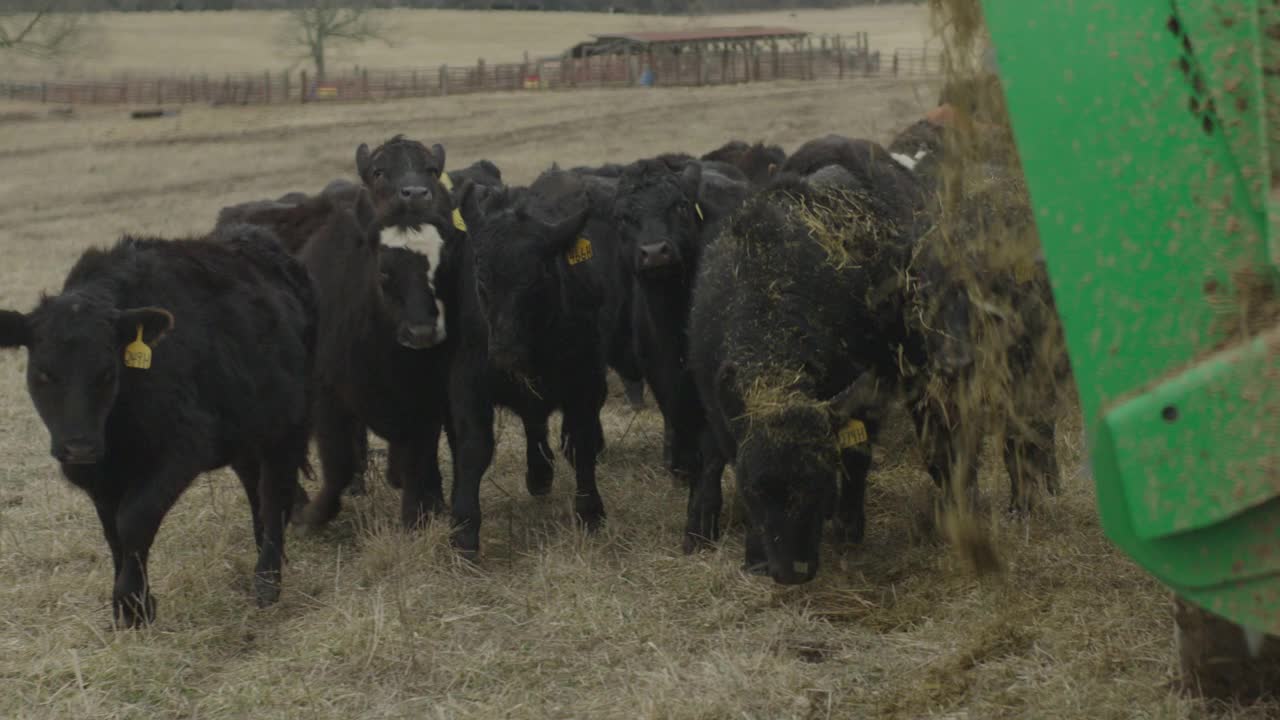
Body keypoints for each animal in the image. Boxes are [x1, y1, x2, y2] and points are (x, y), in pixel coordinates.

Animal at [0, 225, 314, 622]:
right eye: (43, 373)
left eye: (107, 372)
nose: (79, 447)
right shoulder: (100, 476)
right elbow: (112, 533)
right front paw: (132, 607)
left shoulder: (184, 448)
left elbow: (133, 520)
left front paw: (131, 604)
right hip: (246, 431)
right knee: (255, 487)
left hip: (288, 422)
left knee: (274, 495)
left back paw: (267, 582)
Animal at [450, 167, 629, 556]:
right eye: (481, 279)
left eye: (537, 278)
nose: (505, 352)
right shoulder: (468, 383)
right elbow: (474, 448)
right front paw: (464, 530)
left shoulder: (585, 381)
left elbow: (580, 443)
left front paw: (590, 512)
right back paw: (539, 475)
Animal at [691, 158, 967, 584]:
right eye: (756, 489)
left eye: (818, 482)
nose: (792, 571)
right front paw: (754, 555)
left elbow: (855, 459)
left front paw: (848, 526)